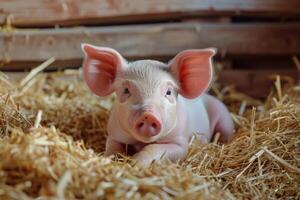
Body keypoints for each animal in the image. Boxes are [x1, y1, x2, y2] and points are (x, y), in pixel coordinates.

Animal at [81, 44, 234, 166]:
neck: (142, 142)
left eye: (168, 92)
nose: (148, 115)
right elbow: (112, 147)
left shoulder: (179, 142)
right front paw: (110, 159)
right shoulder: (114, 133)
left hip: (223, 116)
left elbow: (156, 148)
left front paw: (136, 163)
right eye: (126, 91)